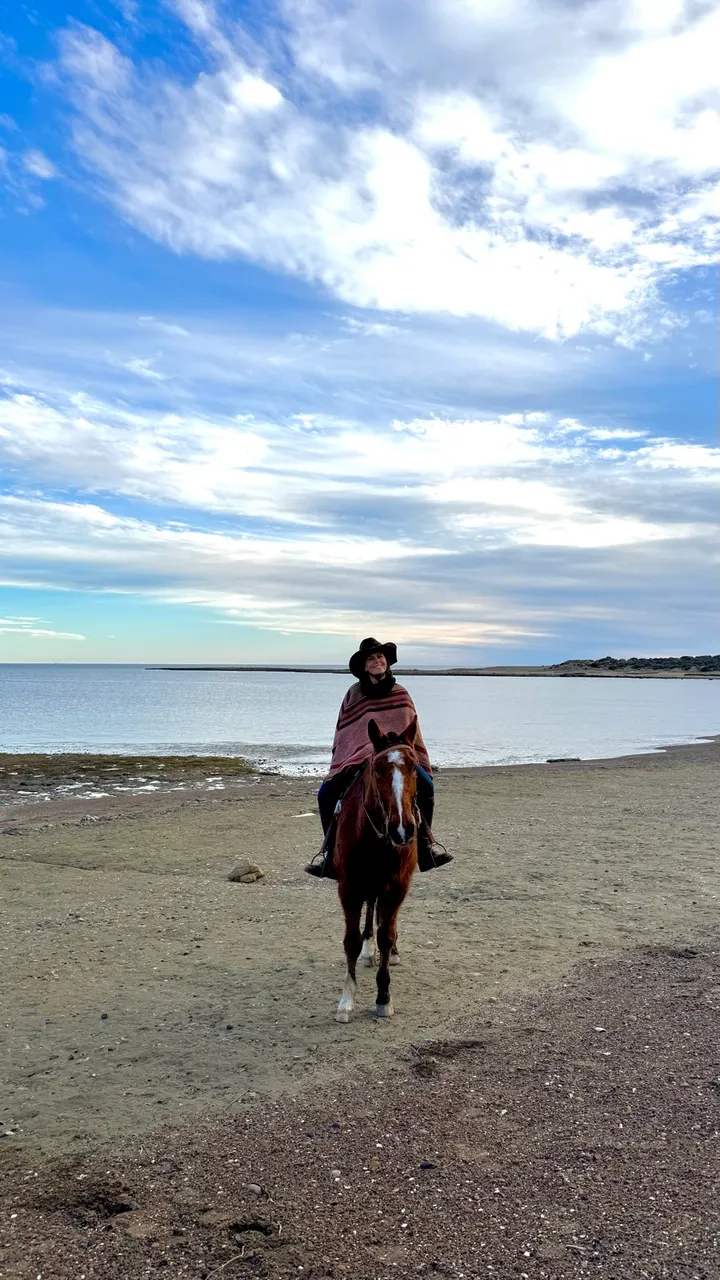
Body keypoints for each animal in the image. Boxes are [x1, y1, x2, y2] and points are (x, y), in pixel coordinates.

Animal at [333, 716, 419, 1022]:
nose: (402, 829)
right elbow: (351, 940)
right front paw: (346, 1000)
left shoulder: (397, 887)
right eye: (378, 768)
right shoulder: (348, 888)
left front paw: (383, 997)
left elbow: (387, 934)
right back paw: (368, 950)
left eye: (414, 767)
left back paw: (389, 952)